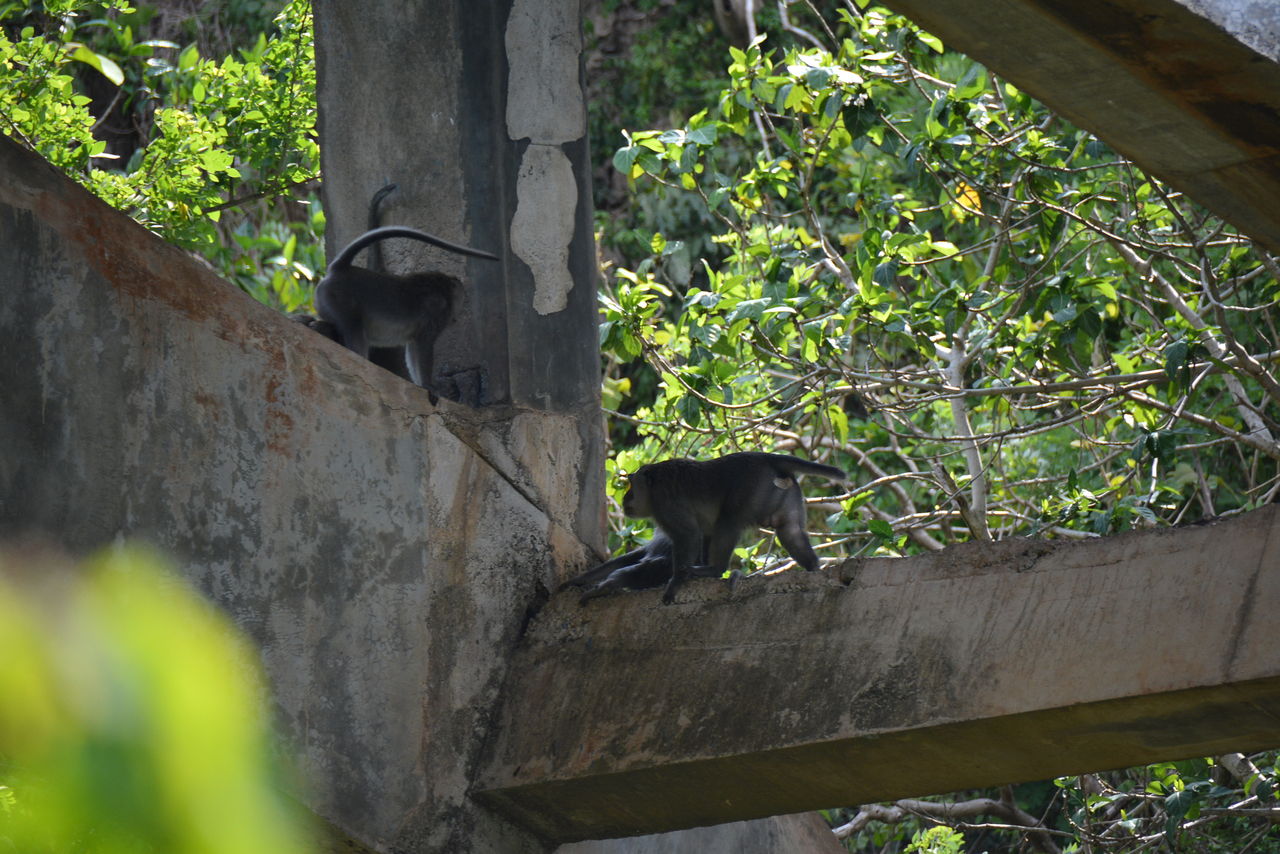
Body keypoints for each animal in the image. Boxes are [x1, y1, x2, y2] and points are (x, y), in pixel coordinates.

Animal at [314, 186, 499, 399]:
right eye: (458, 301)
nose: (456, 317)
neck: (441, 286)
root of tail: (339, 269)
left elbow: (412, 349)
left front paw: (422, 385)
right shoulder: (437, 314)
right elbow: (422, 347)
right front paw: (428, 386)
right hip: (340, 300)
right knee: (355, 333)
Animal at [622, 452, 847, 604]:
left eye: (631, 484)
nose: (625, 497)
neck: (653, 486)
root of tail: (768, 458)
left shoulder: (664, 503)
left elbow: (688, 535)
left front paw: (676, 582)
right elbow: (704, 534)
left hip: (752, 488)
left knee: (728, 521)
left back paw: (715, 569)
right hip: (783, 492)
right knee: (789, 530)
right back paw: (814, 568)